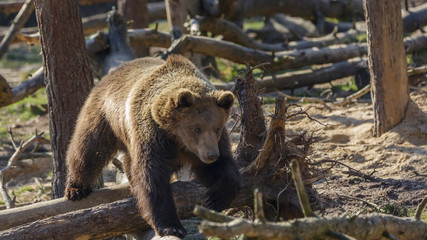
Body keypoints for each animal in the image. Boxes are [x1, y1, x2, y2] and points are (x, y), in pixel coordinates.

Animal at [65, 54, 242, 238]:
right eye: (197, 128)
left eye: (217, 127)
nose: (211, 154)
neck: (177, 137)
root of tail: (109, 75)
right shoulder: (153, 136)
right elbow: (152, 176)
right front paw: (171, 226)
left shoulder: (211, 144)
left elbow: (222, 166)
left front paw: (217, 196)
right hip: (105, 117)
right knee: (88, 148)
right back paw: (76, 188)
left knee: (126, 162)